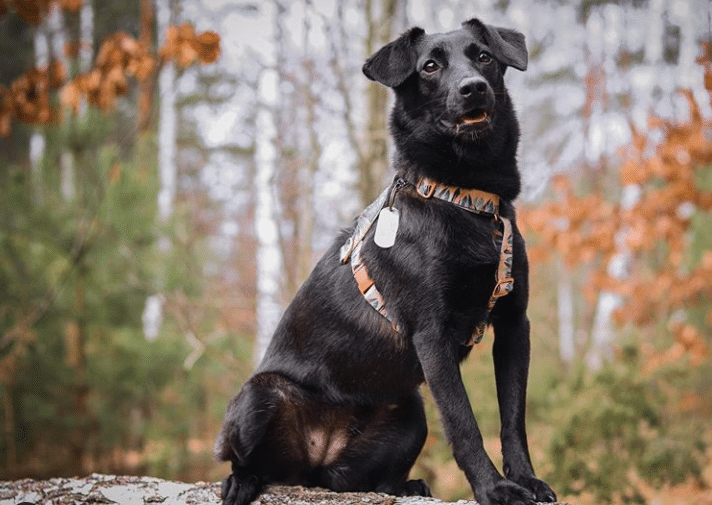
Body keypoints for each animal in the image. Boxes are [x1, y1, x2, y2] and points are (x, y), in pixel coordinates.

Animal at [214, 16, 560, 504]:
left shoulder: (514, 324)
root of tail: (316, 456)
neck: (464, 198)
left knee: (356, 481)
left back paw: (405, 484)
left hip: (410, 409)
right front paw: (494, 488)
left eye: (484, 57)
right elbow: (464, 424)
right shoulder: (432, 335)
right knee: (251, 461)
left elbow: (513, 419)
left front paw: (526, 479)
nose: (473, 88)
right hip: (259, 396)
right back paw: (240, 480)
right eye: (430, 66)